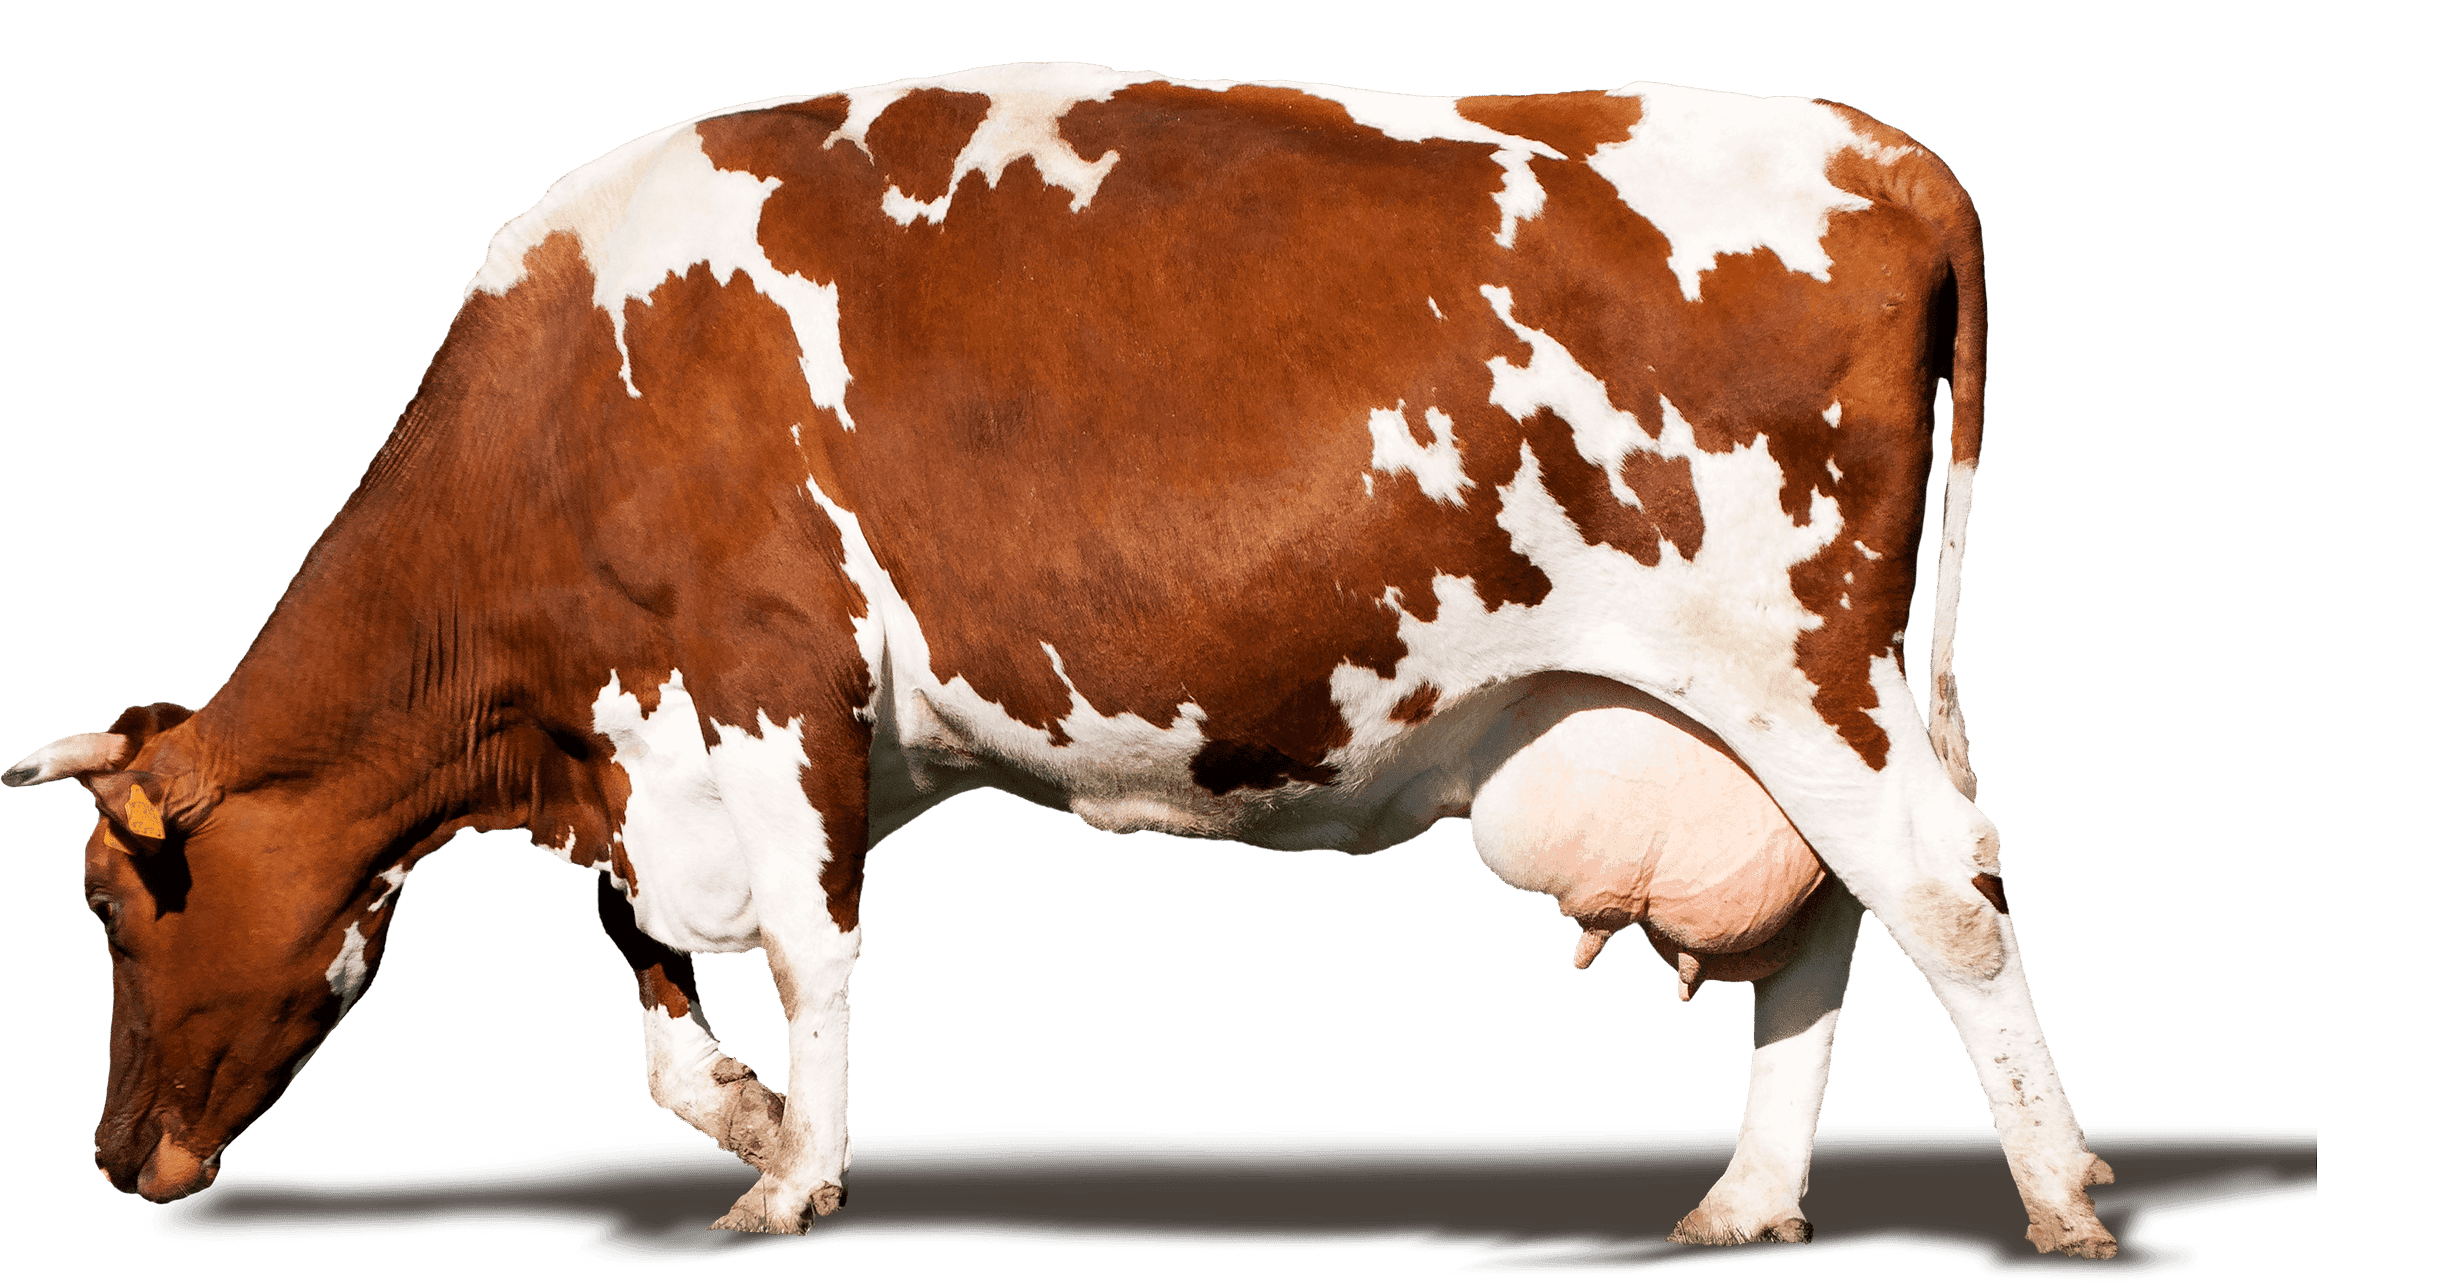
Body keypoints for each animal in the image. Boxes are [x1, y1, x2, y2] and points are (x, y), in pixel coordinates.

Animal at [5, 63, 2117, 1258]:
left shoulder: (767, 679)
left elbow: (806, 950)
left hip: (1789, 654)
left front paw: (797, 1175)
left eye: (111, 904)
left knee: (1944, 883)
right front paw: (753, 1117)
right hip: (1754, 704)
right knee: (1833, 909)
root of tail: (1865, 142)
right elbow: (656, 978)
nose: (107, 1159)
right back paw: (1750, 1201)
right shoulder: (659, 742)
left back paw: (2059, 1197)